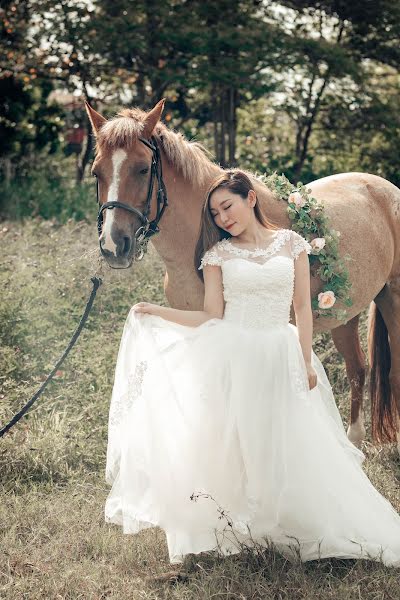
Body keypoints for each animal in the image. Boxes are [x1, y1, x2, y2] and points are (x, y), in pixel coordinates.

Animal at [85, 99, 400, 454]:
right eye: (97, 172)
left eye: (142, 169)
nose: (113, 245)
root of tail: (384, 188)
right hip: (343, 312)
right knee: (358, 368)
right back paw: (352, 444)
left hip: (392, 298)